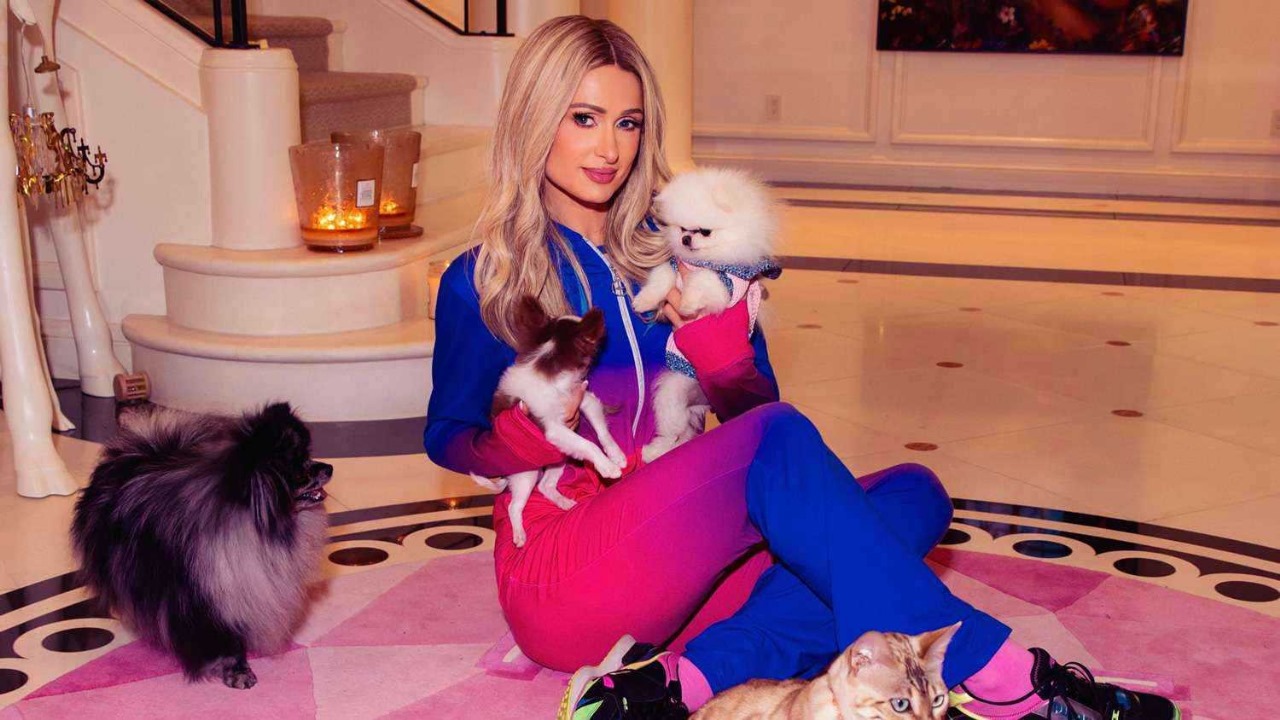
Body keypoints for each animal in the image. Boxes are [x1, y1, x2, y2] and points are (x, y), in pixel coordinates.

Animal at [71, 402, 331, 689]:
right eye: (301, 465)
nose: (329, 467)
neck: (254, 526)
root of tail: (134, 453)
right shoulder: (202, 600)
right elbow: (225, 644)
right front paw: (237, 671)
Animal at [471, 297, 626, 547]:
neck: (547, 357)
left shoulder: (584, 399)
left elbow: (601, 431)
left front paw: (615, 455)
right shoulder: (553, 429)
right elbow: (587, 444)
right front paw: (607, 466)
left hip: (558, 457)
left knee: (545, 486)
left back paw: (563, 502)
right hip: (527, 473)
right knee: (515, 505)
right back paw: (519, 534)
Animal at [632, 167, 781, 461]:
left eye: (705, 231)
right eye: (682, 229)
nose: (686, 239)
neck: (701, 261)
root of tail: (700, 401)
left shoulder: (726, 284)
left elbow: (703, 281)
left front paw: (688, 304)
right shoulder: (673, 266)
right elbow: (660, 279)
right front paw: (643, 301)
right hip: (671, 398)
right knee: (673, 432)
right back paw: (654, 452)